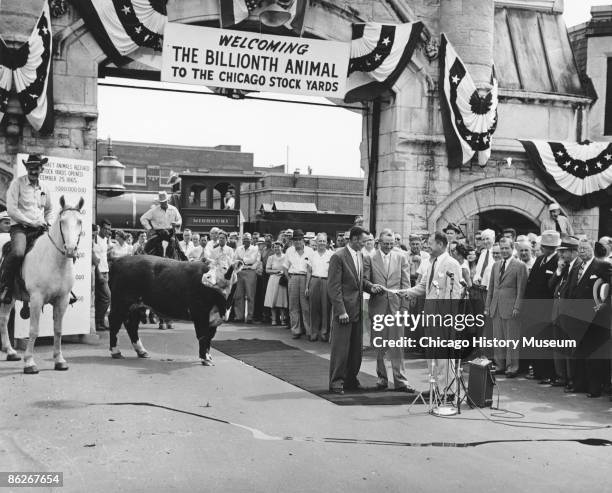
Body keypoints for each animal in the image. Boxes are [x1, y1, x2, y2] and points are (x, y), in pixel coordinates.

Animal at [0, 196, 84, 372]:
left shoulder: (62, 300)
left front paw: (59, 360)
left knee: (3, 319)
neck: (54, 261)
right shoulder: (36, 299)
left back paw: (10, 352)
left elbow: (58, 330)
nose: (71, 250)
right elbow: (33, 330)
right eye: (62, 221)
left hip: (9, 297)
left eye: (79, 221)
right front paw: (29, 362)